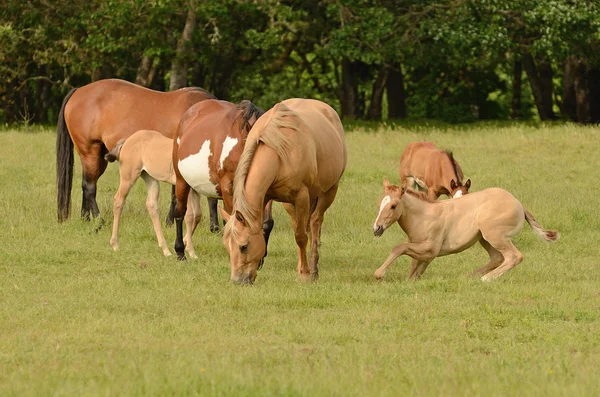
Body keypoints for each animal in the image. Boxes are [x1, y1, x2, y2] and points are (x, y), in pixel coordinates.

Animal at [56, 77, 223, 232]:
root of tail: (78, 91)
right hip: (90, 151)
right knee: (90, 187)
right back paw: (100, 221)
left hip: (99, 157)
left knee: (87, 185)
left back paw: (85, 219)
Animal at [219, 99, 346, 284]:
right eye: (227, 246)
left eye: (243, 246)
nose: (237, 281)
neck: (278, 151)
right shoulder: (269, 198)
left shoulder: (301, 196)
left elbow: (301, 236)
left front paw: (305, 274)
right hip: (292, 204)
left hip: (329, 191)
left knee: (315, 222)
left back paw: (313, 268)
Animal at [372, 179, 560, 282]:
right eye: (379, 203)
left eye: (393, 205)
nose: (377, 228)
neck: (424, 216)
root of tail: (519, 205)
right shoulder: (424, 253)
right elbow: (414, 269)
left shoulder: (430, 249)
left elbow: (399, 248)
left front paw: (379, 274)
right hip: (484, 237)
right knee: (497, 258)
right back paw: (468, 276)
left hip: (494, 235)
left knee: (514, 256)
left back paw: (486, 279)